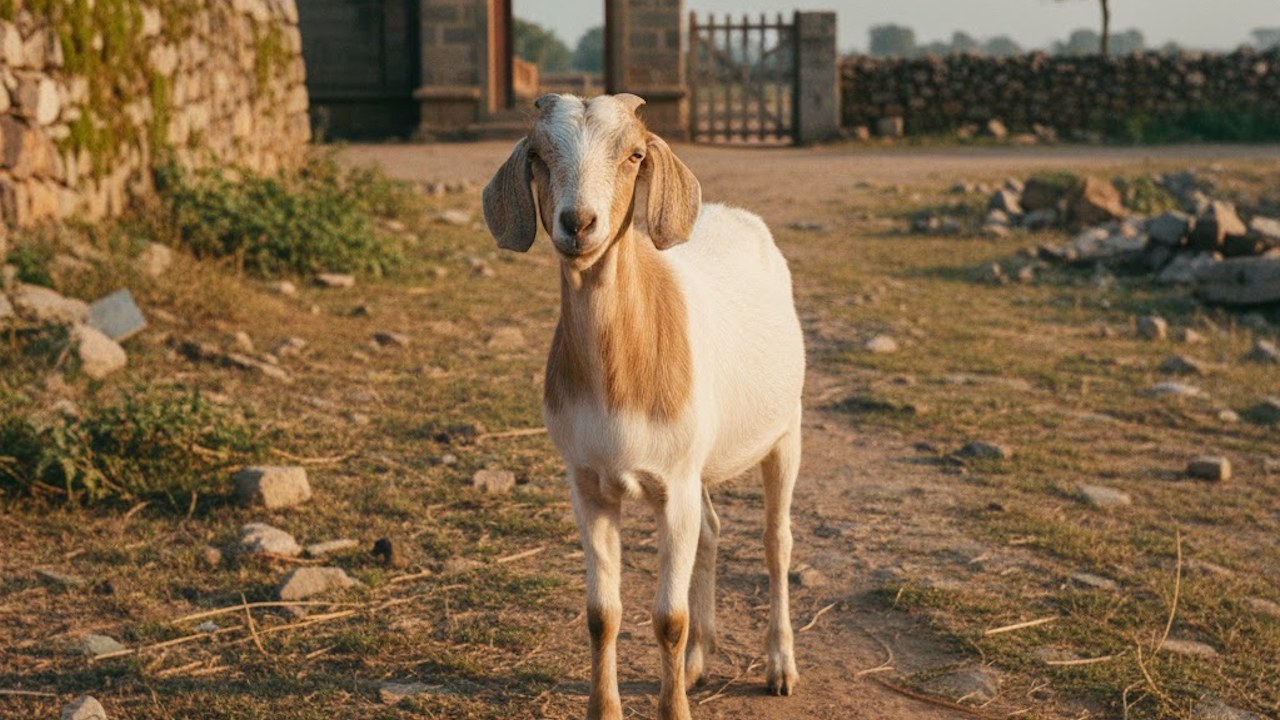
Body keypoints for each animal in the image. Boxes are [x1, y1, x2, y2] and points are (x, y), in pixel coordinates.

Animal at [482, 93, 805, 720]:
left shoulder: (671, 486)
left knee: (776, 543)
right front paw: (605, 709)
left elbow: (667, 619)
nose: (578, 223)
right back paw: (700, 662)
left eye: (633, 154)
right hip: (697, 461)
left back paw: (780, 666)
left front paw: (673, 707)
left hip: (786, 432)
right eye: (538, 154)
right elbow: (601, 616)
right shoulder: (589, 484)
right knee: (711, 531)